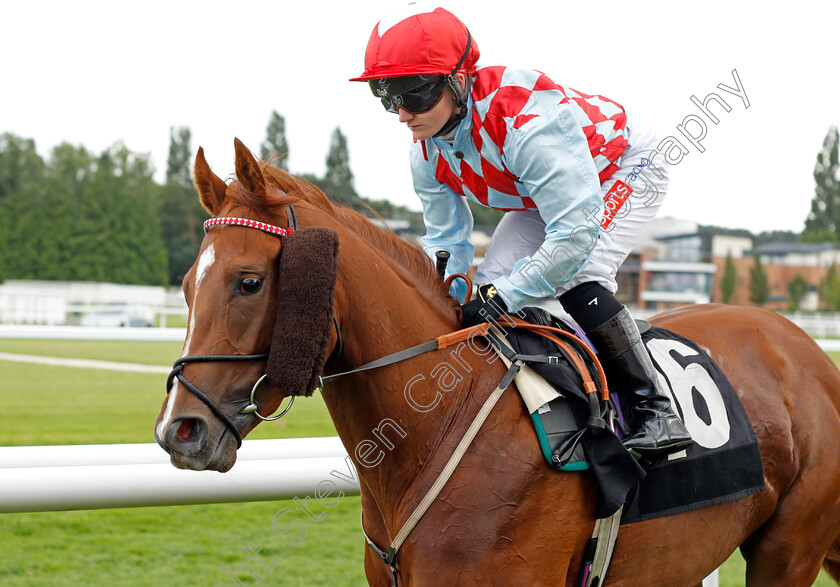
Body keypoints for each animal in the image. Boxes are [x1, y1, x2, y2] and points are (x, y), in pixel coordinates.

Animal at [154, 139, 840, 587]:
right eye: (186, 285)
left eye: (247, 282)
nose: (178, 430)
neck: (439, 423)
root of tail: (806, 348)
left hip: (788, 551)